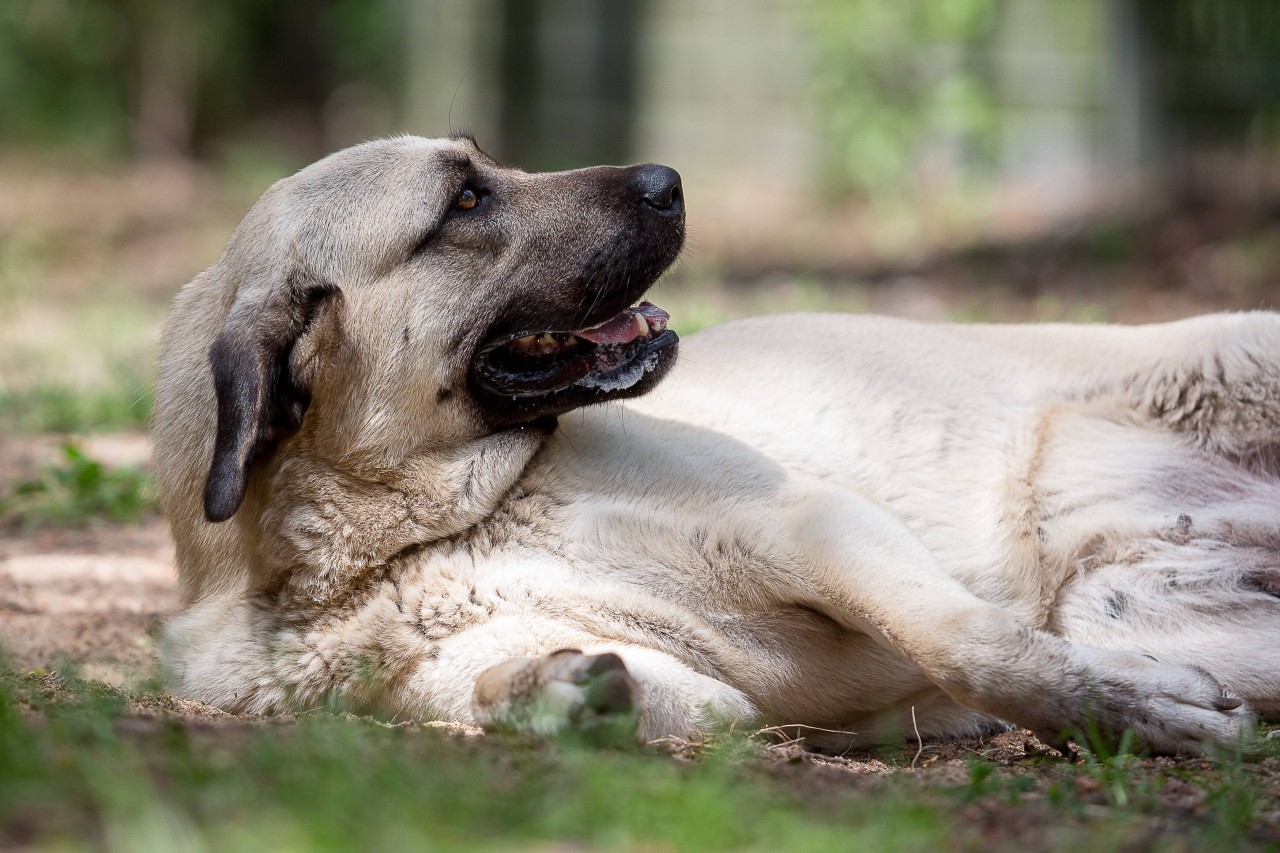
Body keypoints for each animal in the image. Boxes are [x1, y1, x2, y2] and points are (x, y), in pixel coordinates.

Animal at [157, 133, 1280, 753]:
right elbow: (515, 686)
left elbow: (970, 643)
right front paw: (550, 691)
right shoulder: (705, 697)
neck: (407, 532)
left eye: (481, 166)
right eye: (465, 200)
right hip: (1140, 608)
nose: (669, 180)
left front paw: (1128, 708)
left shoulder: (811, 524)